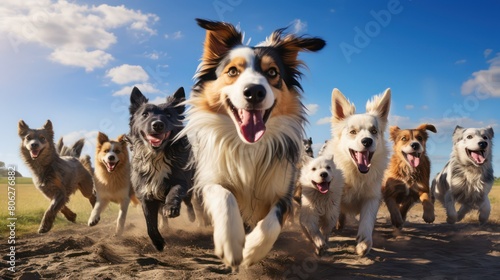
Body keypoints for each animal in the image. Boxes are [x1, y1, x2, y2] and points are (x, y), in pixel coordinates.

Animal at [128, 86, 194, 252]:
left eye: (169, 115)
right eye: (145, 114)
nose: (157, 124)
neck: (157, 157)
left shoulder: (181, 180)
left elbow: (175, 190)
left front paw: (172, 208)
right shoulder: (145, 193)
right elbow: (150, 224)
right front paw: (158, 242)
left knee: (189, 204)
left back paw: (193, 217)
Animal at [182, 18, 326, 270]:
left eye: (272, 72)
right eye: (232, 71)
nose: (254, 91)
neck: (248, 146)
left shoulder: (284, 191)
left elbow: (272, 222)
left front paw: (252, 250)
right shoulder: (209, 180)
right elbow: (225, 197)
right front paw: (231, 242)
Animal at [320, 88, 390, 256]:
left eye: (374, 131)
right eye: (352, 132)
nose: (367, 141)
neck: (355, 173)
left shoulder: (372, 197)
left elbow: (367, 221)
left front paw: (364, 243)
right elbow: (328, 219)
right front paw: (321, 240)